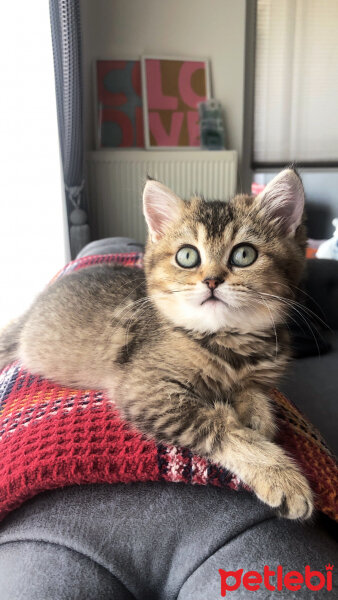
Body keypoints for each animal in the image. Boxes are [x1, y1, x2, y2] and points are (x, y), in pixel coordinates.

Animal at [0, 168, 314, 516]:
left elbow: (254, 390)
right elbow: (219, 426)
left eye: (244, 254)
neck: (227, 339)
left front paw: (259, 416)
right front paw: (277, 472)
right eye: (187, 256)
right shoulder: (145, 391)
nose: (212, 281)